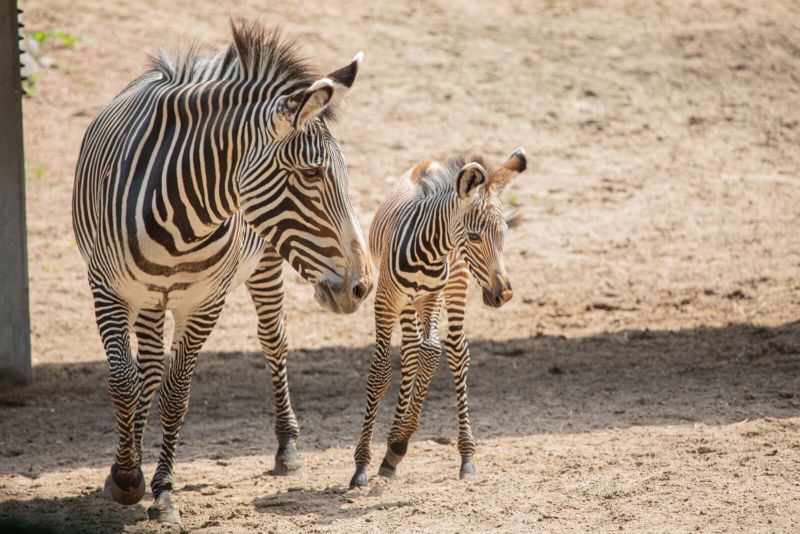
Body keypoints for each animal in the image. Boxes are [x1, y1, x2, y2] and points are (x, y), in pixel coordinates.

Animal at [72, 22, 372, 528]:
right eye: (312, 174)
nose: (362, 286)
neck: (179, 219)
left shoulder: (204, 301)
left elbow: (176, 393)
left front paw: (162, 491)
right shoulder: (107, 289)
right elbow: (123, 382)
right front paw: (126, 476)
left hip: (263, 261)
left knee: (273, 340)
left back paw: (286, 445)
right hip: (150, 298)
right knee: (145, 368)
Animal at [348, 148, 524, 490]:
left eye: (504, 234)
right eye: (474, 236)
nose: (503, 295)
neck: (428, 250)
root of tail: (431, 161)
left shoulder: (432, 297)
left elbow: (431, 354)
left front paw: (398, 444)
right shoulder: (386, 300)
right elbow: (381, 371)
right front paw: (362, 463)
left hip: (454, 284)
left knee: (453, 351)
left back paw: (464, 456)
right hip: (406, 302)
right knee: (410, 351)